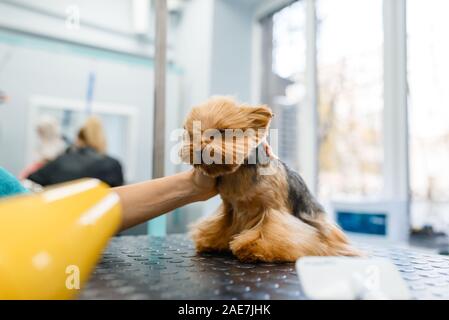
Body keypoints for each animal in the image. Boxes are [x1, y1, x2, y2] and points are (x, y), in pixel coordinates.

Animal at [178, 96, 356, 262]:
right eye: (192, 134)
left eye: (222, 132)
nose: (200, 145)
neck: (237, 174)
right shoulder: (229, 207)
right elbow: (220, 224)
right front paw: (211, 241)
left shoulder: (272, 209)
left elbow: (269, 230)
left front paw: (253, 247)